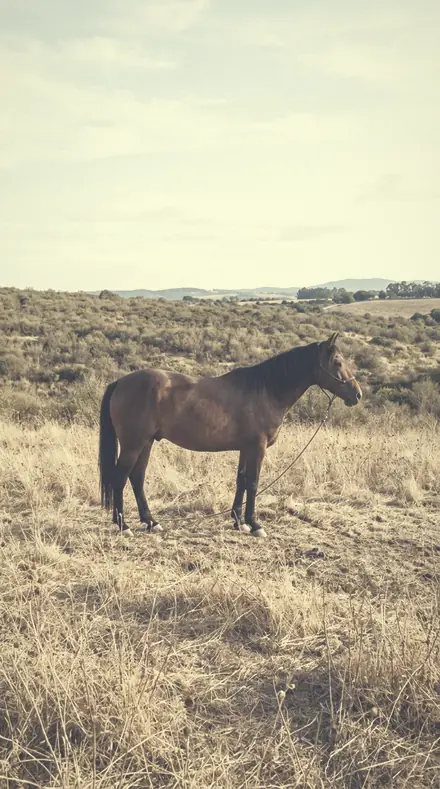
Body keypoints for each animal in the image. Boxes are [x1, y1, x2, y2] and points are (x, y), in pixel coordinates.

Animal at [98, 332, 362, 538]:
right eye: (337, 362)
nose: (357, 395)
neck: (266, 390)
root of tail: (121, 381)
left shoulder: (246, 448)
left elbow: (241, 481)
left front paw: (239, 521)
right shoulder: (257, 447)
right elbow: (253, 483)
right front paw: (255, 525)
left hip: (147, 443)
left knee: (137, 477)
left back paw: (151, 522)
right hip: (133, 444)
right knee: (120, 478)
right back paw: (124, 525)